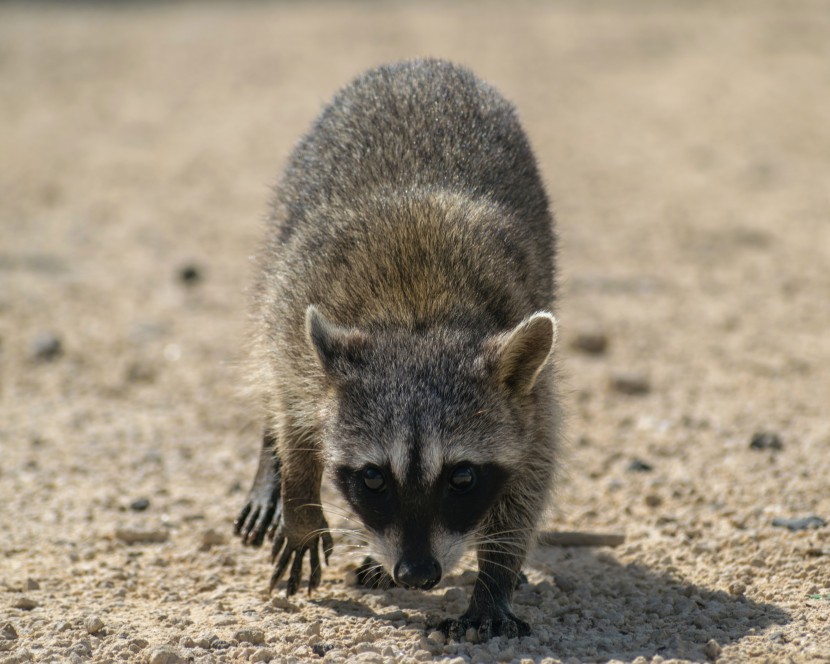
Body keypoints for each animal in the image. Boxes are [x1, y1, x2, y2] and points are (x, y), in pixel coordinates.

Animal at [231, 59, 564, 640]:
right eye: (373, 478)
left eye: (462, 477)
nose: (417, 574)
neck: (417, 315)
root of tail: (422, 63)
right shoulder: (294, 323)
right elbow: (294, 415)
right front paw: (298, 499)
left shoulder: (532, 398)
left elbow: (530, 476)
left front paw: (496, 575)